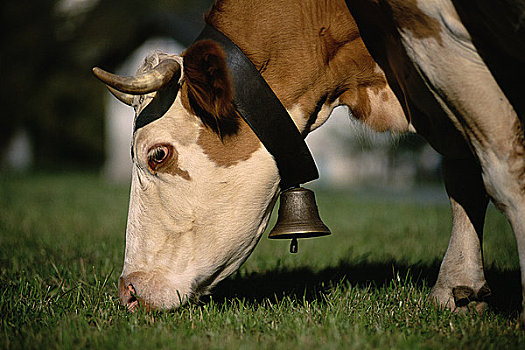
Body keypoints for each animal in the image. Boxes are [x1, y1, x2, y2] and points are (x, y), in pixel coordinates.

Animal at [93, 0, 524, 324]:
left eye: (158, 155)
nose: (128, 292)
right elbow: (462, 173)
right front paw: (457, 289)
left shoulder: (440, 38)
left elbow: (504, 169)